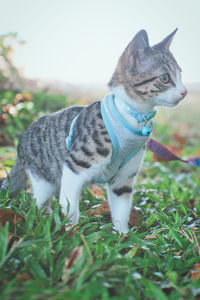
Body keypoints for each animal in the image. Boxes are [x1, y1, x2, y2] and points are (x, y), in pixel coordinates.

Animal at [1, 29, 188, 233]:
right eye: (165, 78)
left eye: (180, 75)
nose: (185, 92)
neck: (131, 115)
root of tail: (22, 140)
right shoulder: (74, 167)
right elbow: (69, 206)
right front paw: (70, 233)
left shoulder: (123, 179)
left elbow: (121, 209)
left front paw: (122, 234)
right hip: (43, 177)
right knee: (39, 201)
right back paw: (45, 217)